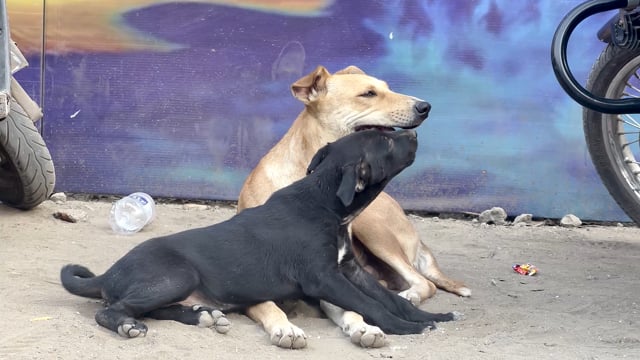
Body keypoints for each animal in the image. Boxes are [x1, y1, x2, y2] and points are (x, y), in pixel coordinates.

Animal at [61, 129, 456, 338]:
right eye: (386, 143)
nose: (415, 132)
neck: (326, 204)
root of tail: (107, 274)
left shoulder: (351, 270)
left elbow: (390, 298)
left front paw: (431, 317)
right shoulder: (324, 278)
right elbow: (371, 304)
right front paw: (402, 327)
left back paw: (200, 315)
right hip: (178, 275)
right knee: (113, 309)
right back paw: (127, 325)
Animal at [239, 65, 470, 348]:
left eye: (387, 87)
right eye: (368, 93)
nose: (425, 106)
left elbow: (351, 308)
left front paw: (363, 326)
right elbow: (270, 306)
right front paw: (286, 328)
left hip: (373, 229)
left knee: (424, 282)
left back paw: (409, 295)